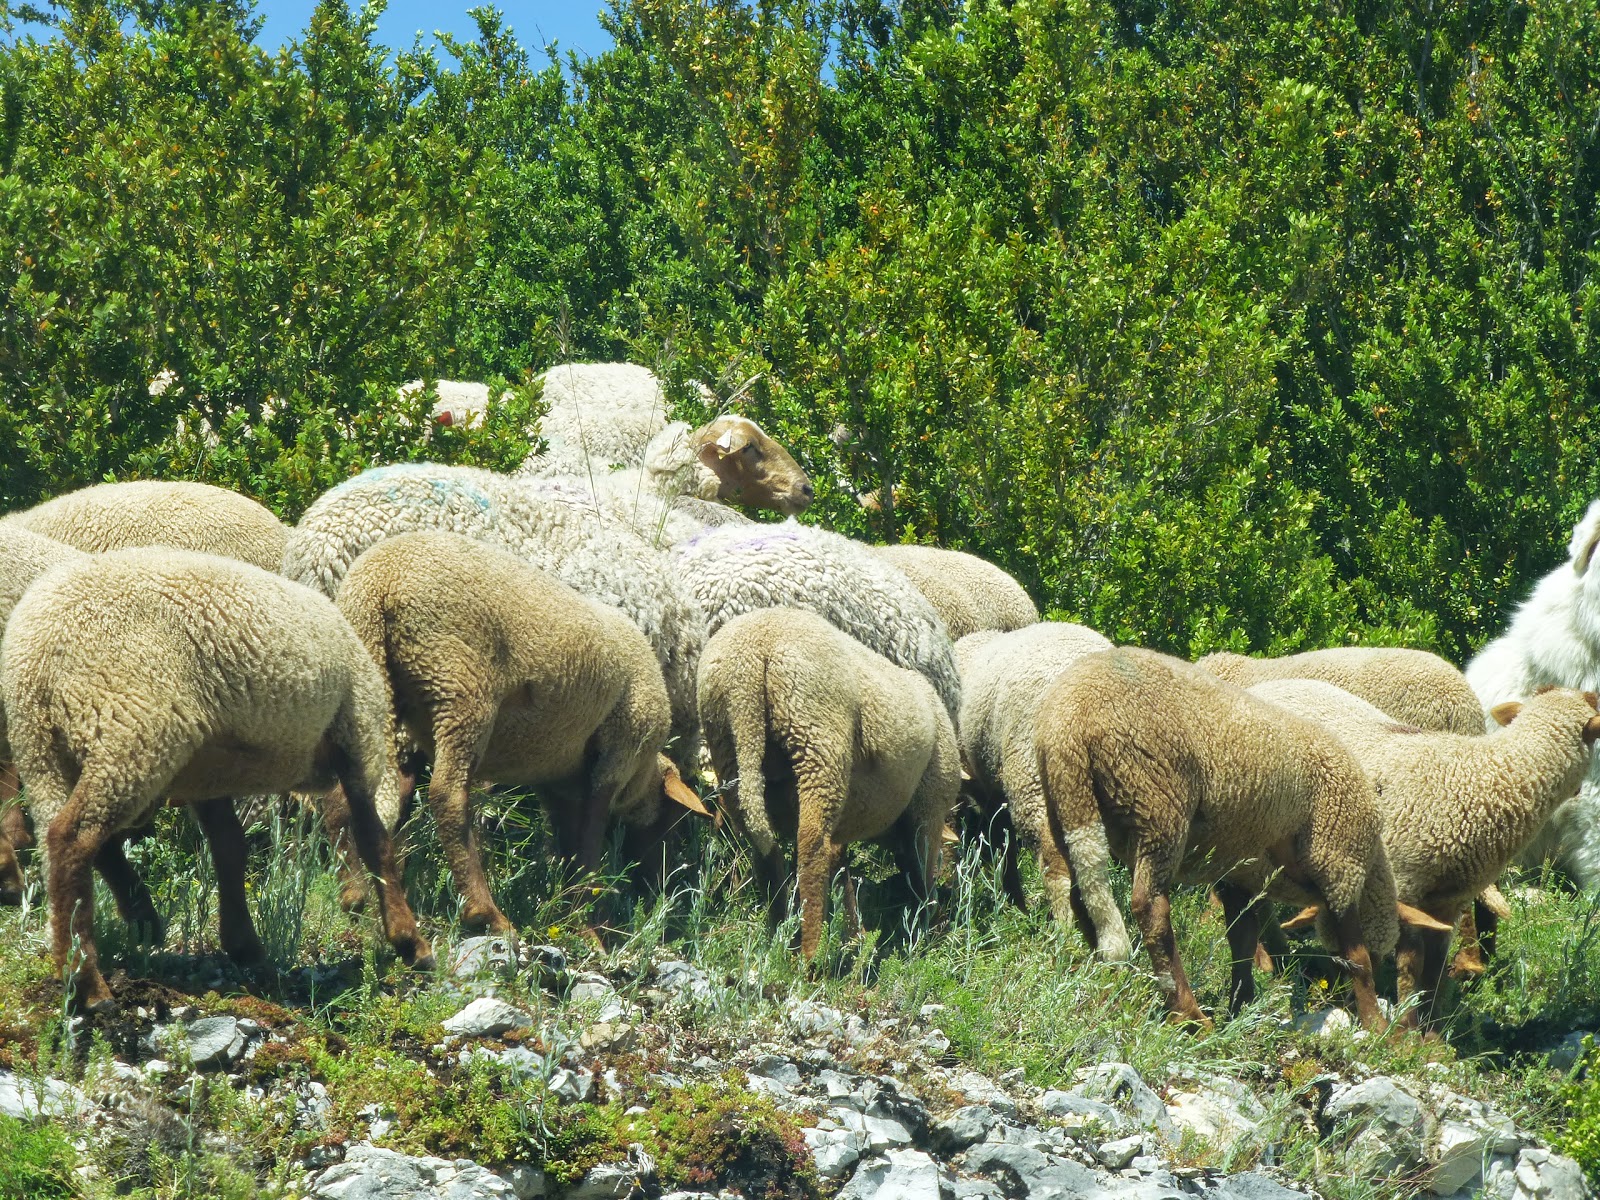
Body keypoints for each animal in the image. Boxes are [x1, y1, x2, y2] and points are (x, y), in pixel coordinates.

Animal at [1, 548, 432, 1011]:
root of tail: (36, 653)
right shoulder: (355, 736)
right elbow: (375, 842)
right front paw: (410, 942)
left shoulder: (207, 774)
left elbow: (229, 848)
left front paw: (244, 945)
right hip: (128, 727)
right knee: (72, 838)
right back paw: (89, 985)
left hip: (49, 750)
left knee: (77, 840)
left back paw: (125, 929)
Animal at [334, 533, 708, 933]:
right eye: (674, 819)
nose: (660, 886)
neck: (640, 772)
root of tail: (379, 583)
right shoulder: (616, 754)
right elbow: (589, 847)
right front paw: (590, 925)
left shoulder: (561, 783)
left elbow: (571, 850)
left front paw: (575, 913)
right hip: (460, 685)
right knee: (447, 795)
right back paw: (485, 914)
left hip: (372, 683)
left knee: (351, 799)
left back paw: (364, 900)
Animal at [698, 608, 961, 959]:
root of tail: (753, 653)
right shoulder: (929, 804)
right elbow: (922, 870)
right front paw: (927, 925)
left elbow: (842, 868)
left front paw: (855, 935)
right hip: (818, 738)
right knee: (812, 846)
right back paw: (812, 953)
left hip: (730, 750)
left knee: (766, 851)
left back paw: (780, 934)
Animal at [1036, 646, 1446, 1029]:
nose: (1340, 999)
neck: (1374, 866)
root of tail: (1070, 720)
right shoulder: (1339, 861)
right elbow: (1355, 955)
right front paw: (1375, 1023)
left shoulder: (1240, 873)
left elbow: (1243, 940)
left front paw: (1242, 1004)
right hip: (1156, 801)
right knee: (1149, 907)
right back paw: (1188, 1015)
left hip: (1066, 803)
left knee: (1080, 896)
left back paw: (1104, 978)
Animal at [1250, 678, 1600, 1026]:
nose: (1579, 791)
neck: (1482, 778)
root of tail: (1267, 685)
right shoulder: (1404, 884)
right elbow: (1410, 964)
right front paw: (1407, 1025)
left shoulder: (1448, 899)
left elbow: (1435, 968)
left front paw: (1432, 1032)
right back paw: (1267, 962)